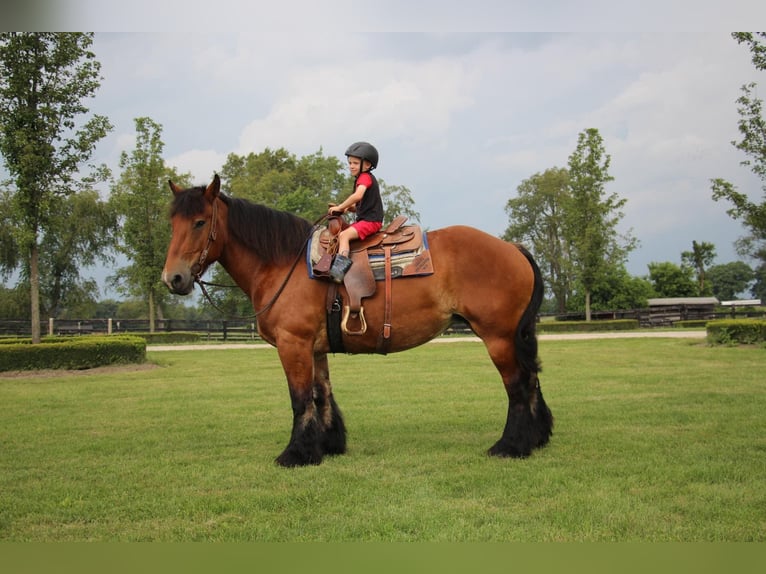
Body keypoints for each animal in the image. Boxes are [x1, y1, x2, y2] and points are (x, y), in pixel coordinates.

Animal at [165, 176, 556, 468]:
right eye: (172, 223)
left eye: (200, 222)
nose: (174, 278)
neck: (283, 263)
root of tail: (511, 247)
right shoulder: (314, 348)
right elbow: (321, 394)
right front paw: (327, 445)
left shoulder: (293, 344)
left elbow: (300, 399)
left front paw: (295, 454)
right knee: (532, 380)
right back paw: (536, 438)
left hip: (498, 337)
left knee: (517, 386)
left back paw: (511, 445)